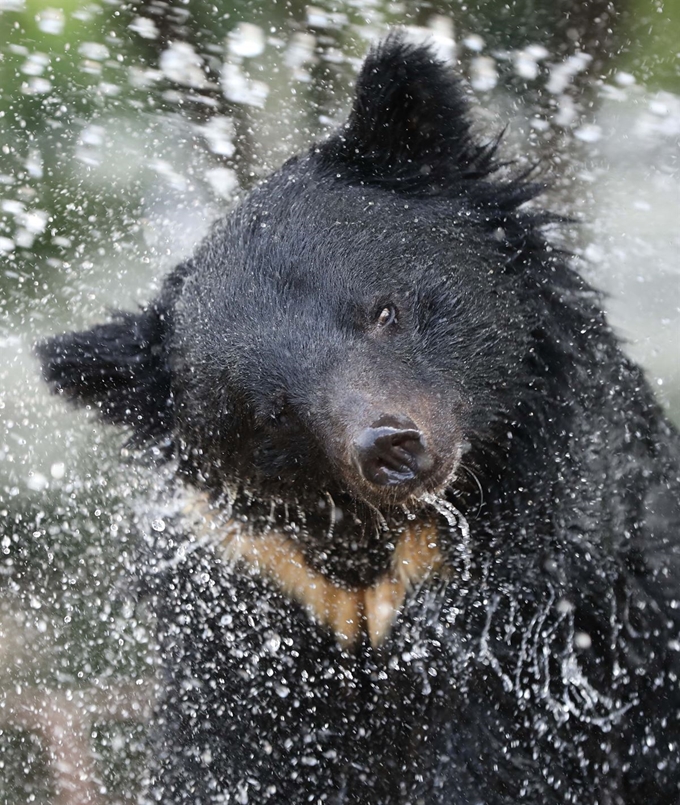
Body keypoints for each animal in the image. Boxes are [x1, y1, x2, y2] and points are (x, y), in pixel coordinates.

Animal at [38, 36, 680, 804]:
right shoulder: (255, 617)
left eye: (384, 310)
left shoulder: (549, 626)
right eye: (271, 414)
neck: (381, 568)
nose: (392, 448)